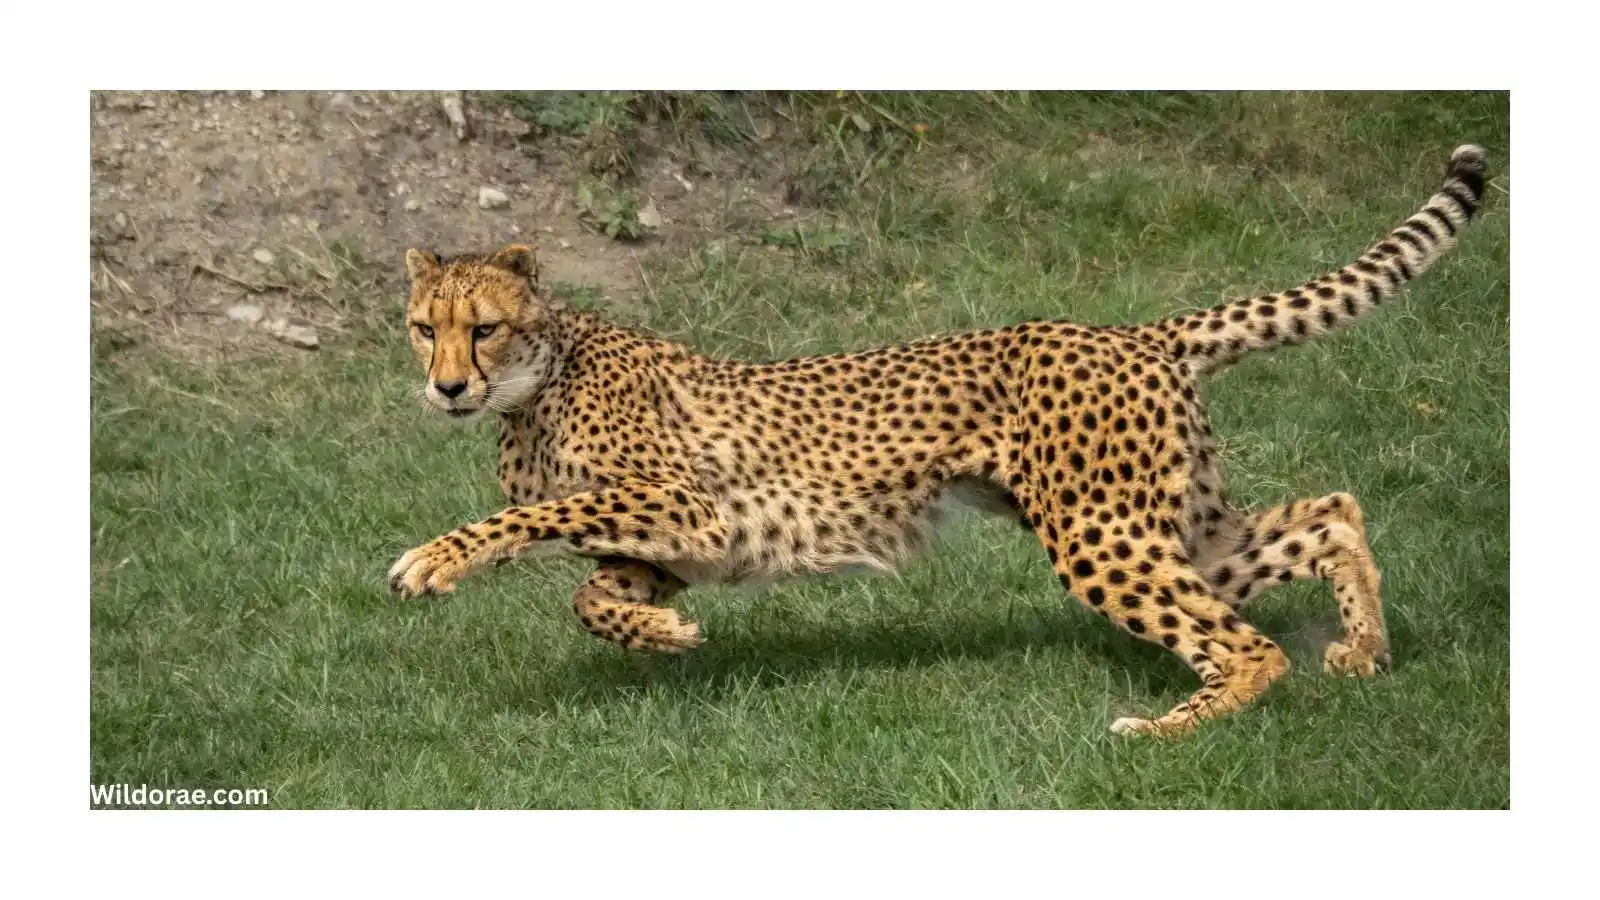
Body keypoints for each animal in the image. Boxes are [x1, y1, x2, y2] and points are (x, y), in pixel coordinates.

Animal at [389, 144, 1489, 737]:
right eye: (421, 326)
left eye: (481, 327)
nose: (445, 387)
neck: (535, 382)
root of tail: (1129, 330)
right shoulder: (677, 542)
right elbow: (591, 594)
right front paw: (663, 636)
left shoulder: (685, 507)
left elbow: (522, 525)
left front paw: (431, 562)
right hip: (1173, 524)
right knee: (1330, 512)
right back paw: (1363, 648)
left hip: (1102, 536)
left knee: (1249, 643)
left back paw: (1167, 731)